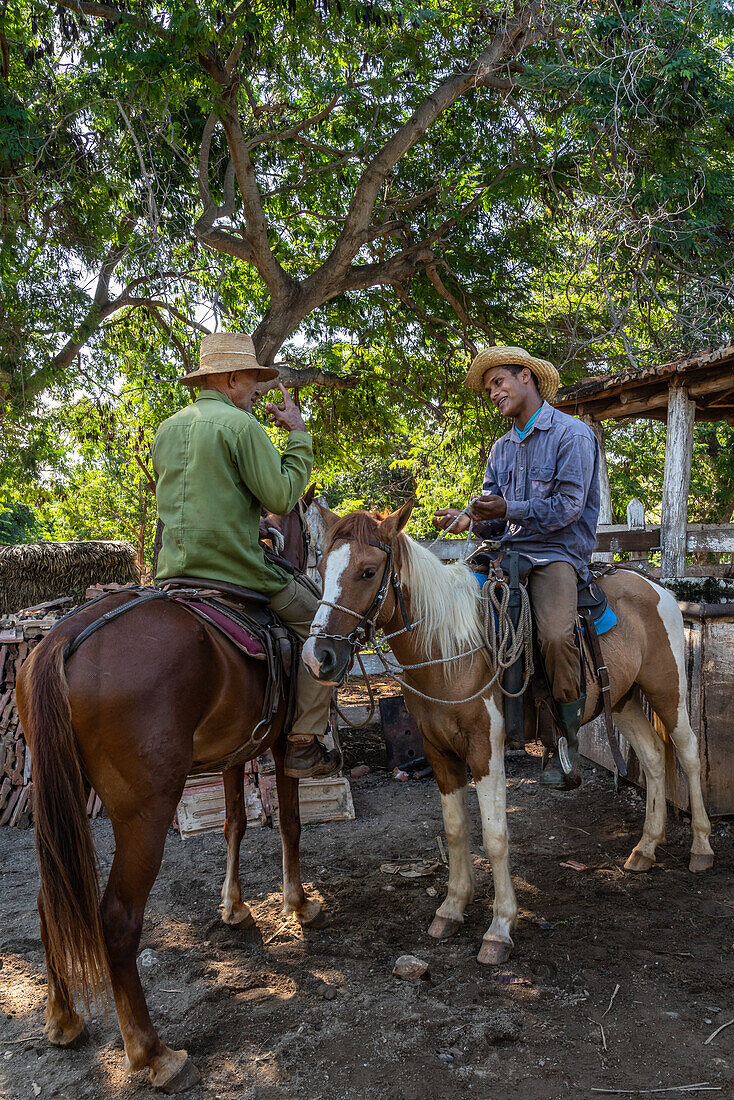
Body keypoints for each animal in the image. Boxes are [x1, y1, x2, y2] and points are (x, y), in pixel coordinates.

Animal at [15, 497, 325, 1091]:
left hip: (62, 799)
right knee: (116, 920)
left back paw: (63, 1018)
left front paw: (234, 908)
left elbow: (234, 823)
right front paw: (298, 903)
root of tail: (63, 640)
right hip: (146, 813)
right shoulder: (279, 746)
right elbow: (291, 824)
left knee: (49, 902)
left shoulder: (236, 752)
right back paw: (153, 1054)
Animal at [301, 503, 713, 968]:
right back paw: (645, 849)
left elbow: (495, 836)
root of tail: (656, 587)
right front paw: (451, 909)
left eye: (368, 572)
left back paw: (701, 848)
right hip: (623, 699)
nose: (318, 658)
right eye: (322, 569)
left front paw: (499, 928)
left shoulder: (485, 748)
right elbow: (456, 830)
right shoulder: (438, 751)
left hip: (667, 690)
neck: (449, 647)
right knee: (654, 758)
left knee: (689, 754)